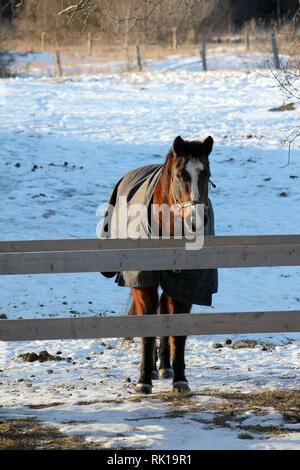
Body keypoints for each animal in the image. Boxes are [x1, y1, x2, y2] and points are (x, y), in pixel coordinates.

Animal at [99, 135, 217, 392]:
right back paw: (153, 368)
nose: (196, 221)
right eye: (180, 175)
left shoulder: (186, 285)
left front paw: (180, 379)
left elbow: (177, 331)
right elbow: (148, 328)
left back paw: (164, 366)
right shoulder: (144, 282)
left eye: (207, 174)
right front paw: (144, 380)